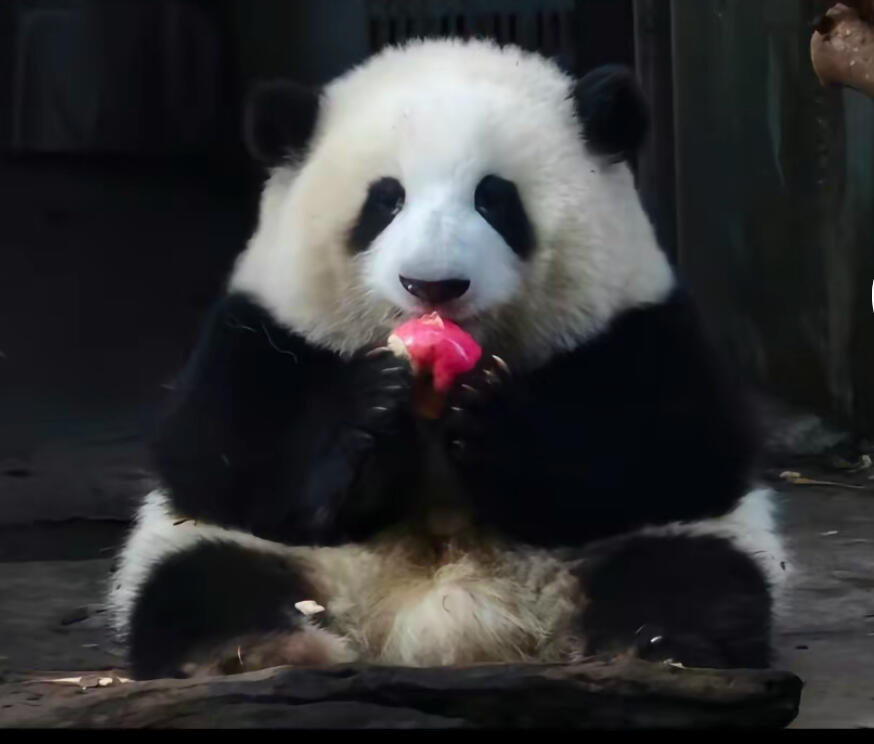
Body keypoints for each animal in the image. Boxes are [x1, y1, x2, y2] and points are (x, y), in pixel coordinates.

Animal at [108, 38, 788, 680]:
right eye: (385, 201)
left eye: (495, 199)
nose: (433, 284)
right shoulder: (261, 330)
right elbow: (220, 456)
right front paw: (372, 410)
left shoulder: (641, 328)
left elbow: (679, 450)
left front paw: (494, 417)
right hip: (260, 558)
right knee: (202, 582)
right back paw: (251, 653)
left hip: (644, 550)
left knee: (689, 574)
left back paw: (660, 648)